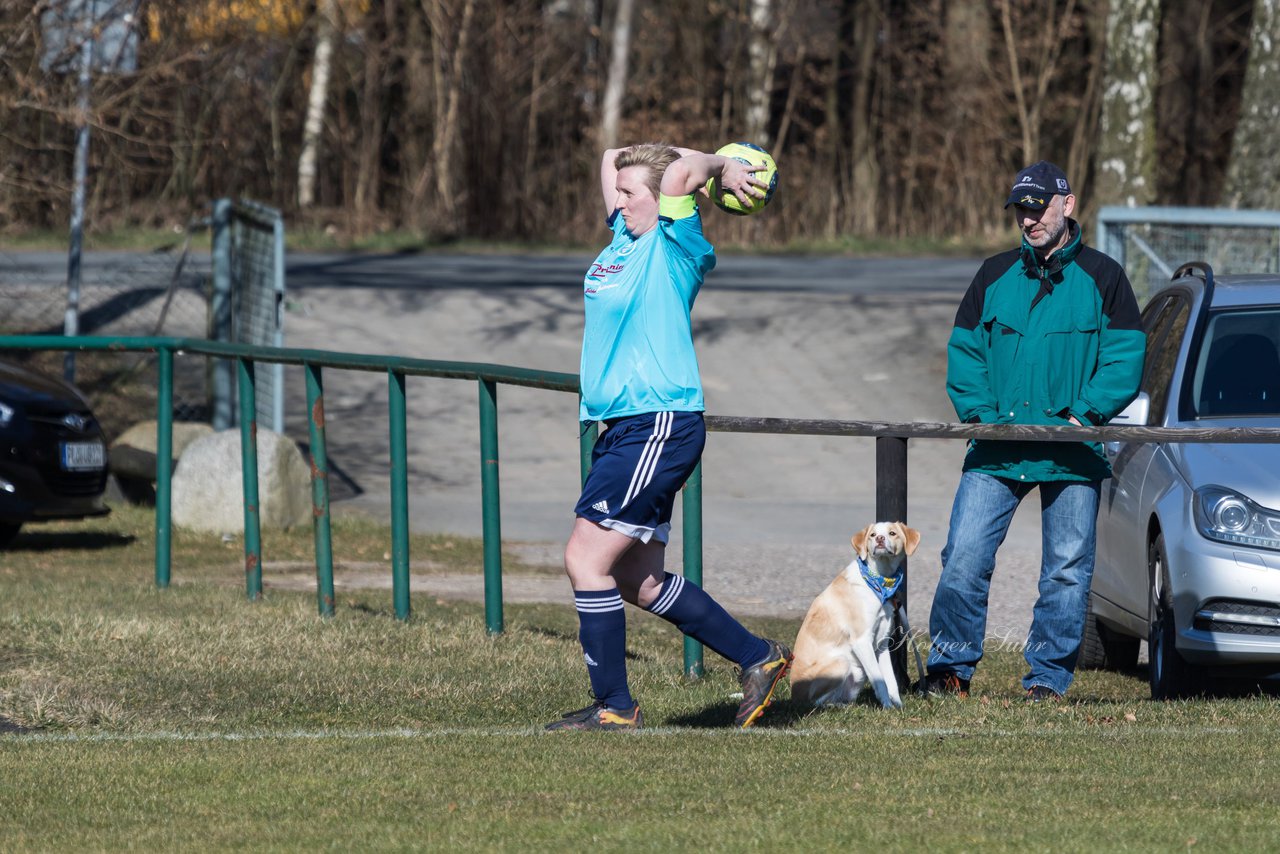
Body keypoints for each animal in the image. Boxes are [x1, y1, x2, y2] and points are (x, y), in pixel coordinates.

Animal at [788, 522, 921, 706]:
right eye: (872, 535)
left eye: (892, 533)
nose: (880, 539)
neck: (880, 582)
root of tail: (794, 699)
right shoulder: (862, 641)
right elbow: (880, 680)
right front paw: (887, 707)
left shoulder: (881, 644)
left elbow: (891, 681)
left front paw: (898, 706)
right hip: (841, 663)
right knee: (816, 703)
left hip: (857, 672)